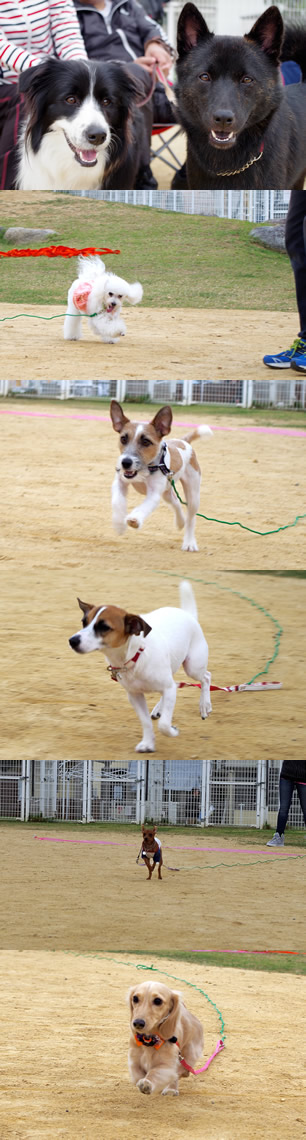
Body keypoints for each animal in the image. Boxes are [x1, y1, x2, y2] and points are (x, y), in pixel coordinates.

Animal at [68, 583, 212, 752]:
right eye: (84, 622)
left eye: (104, 627)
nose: (72, 640)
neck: (134, 657)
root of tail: (188, 614)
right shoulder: (135, 695)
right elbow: (146, 722)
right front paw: (148, 743)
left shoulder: (167, 687)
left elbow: (164, 725)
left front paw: (173, 731)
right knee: (176, 684)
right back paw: (159, 709)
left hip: (193, 667)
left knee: (206, 677)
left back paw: (205, 705)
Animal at [110, 401, 212, 551]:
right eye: (123, 439)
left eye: (146, 442)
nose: (126, 462)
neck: (144, 469)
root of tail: (183, 442)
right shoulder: (119, 483)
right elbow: (117, 501)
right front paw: (119, 524)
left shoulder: (154, 494)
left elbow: (144, 506)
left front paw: (135, 519)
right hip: (167, 492)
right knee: (176, 502)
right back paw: (180, 522)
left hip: (193, 494)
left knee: (191, 518)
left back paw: (189, 542)